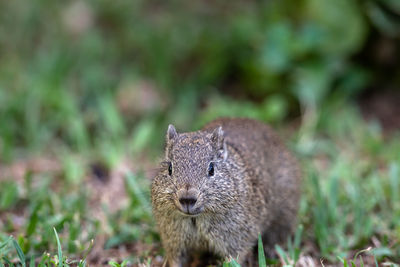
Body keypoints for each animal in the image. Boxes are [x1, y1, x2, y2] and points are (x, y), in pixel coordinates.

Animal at [150, 118, 300, 266]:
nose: (187, 199)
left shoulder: (236, 240)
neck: (196, 219)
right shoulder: (174, 242)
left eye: (211, 169)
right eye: (170, 168)